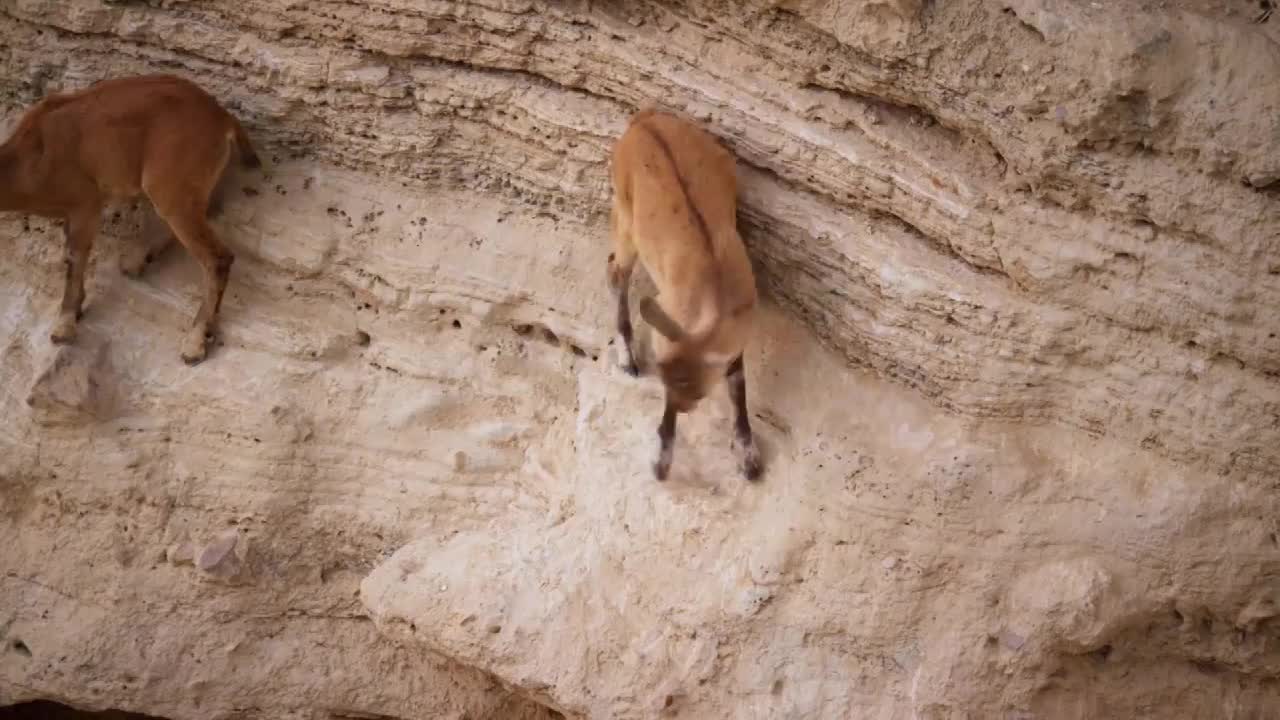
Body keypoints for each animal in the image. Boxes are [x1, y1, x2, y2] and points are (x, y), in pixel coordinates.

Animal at [0, 74, 262, 361]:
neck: (31, 155)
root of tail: (224, 120)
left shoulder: (86, 204)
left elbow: (74, 258)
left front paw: (64, 325)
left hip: (171, 186)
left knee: (217, 258)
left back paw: (195, 341)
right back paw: (136, 261)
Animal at [606, 106, 757, 481]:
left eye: (699, 393)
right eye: (662, 379)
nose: (684, 407)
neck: (715, 292)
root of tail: (642, 121)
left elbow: (738, 382)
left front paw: (747, 453)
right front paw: (661, 460)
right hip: (626, 218)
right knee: (616, 271)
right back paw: (627, 357)